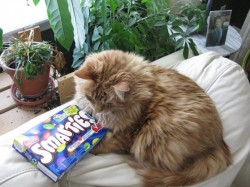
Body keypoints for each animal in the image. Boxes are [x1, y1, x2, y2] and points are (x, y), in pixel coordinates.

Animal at [73, 50, 231, 187]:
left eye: (108, 104)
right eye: (90, 98)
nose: (97, 110)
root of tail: (219, 143)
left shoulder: (124, 135)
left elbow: (101, 145)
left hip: (155, 139)